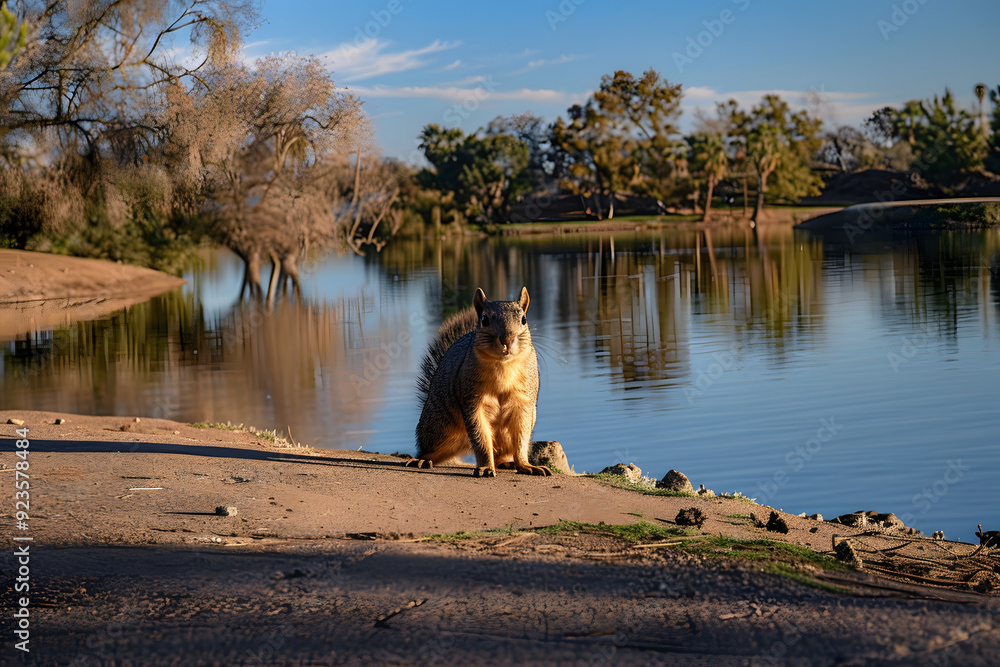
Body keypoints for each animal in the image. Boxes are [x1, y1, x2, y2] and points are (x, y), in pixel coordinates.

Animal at [408, 288, 556, 480]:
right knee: (431, 450)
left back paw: (508, 463)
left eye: (524, 319)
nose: (507, 340)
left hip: (504, 436)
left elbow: (522, 438)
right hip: (439, 430)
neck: (503, 365)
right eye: (484, 319)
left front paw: (526, 465)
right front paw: (485, 467)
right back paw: (421, 460)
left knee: (501, 454)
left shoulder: (523, 403)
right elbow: (481, 438)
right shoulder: (473, 402)